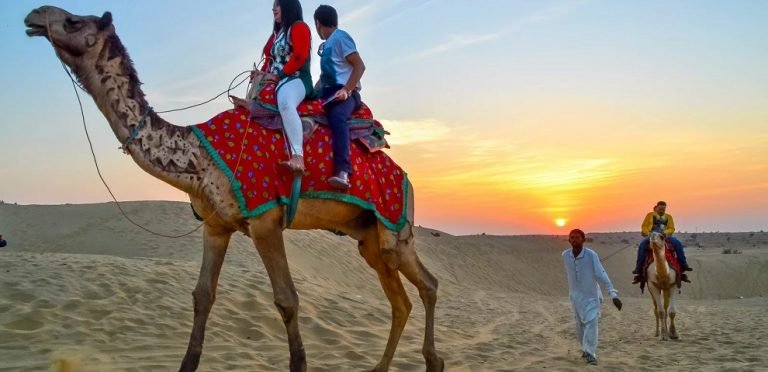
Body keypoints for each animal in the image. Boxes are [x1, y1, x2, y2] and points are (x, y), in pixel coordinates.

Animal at [22, 6, 444, 372]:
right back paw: (384, 366)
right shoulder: (216, 225)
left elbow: (287, 300)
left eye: (74, 21)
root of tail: (406, 177)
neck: (199, 156)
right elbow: (202, 296)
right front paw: (187, 363)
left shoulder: (265, 221)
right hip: (368, 237)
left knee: (428, 284)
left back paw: (433, 361)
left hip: (395, 228)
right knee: (401, 301)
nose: (33, 16)